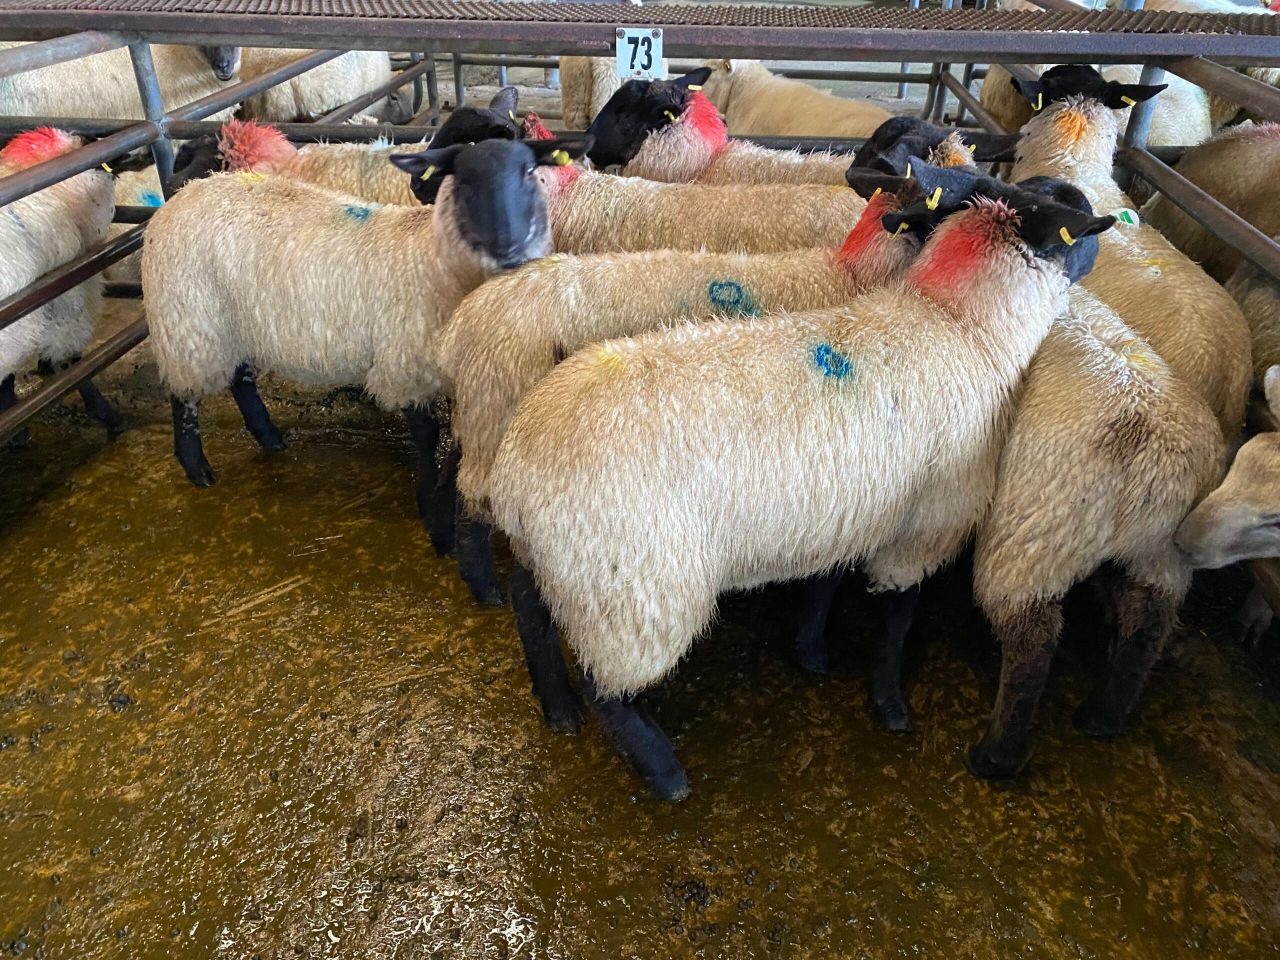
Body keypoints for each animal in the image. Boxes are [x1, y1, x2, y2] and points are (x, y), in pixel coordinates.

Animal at [140, 137, 590, 527]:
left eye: (529, 171)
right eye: (463, 181)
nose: (509, 249)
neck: (432, 261)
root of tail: (185, 193)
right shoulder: (406, 362)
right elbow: (427, 435)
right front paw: (429, 501)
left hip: (235, 325)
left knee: (240, 380)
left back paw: (270, 438)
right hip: (188, 323)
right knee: (184, 396)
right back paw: (197, 467)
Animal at [487, 174, 1114, 798]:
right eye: (1081, 225)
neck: (962, 323)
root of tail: (517, 467)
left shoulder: (841, 509)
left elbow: (825, 585)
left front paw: (811, 650)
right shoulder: (926, 524)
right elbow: (897, 617)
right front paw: (889, 701)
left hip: (573, 564)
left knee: (528, 601)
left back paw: (557, 706)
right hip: (632, 587)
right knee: (609, 686)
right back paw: (662, 771)